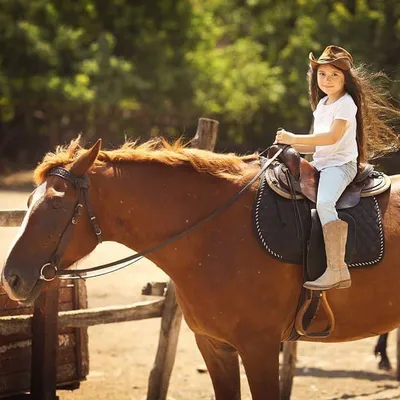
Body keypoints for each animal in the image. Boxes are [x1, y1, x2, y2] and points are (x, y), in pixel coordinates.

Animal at [0, 137, 400, 396]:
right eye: (29, 201)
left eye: (55, 206)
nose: (12, 278)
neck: (215, 232)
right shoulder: (216, 348)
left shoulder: (259, 348)